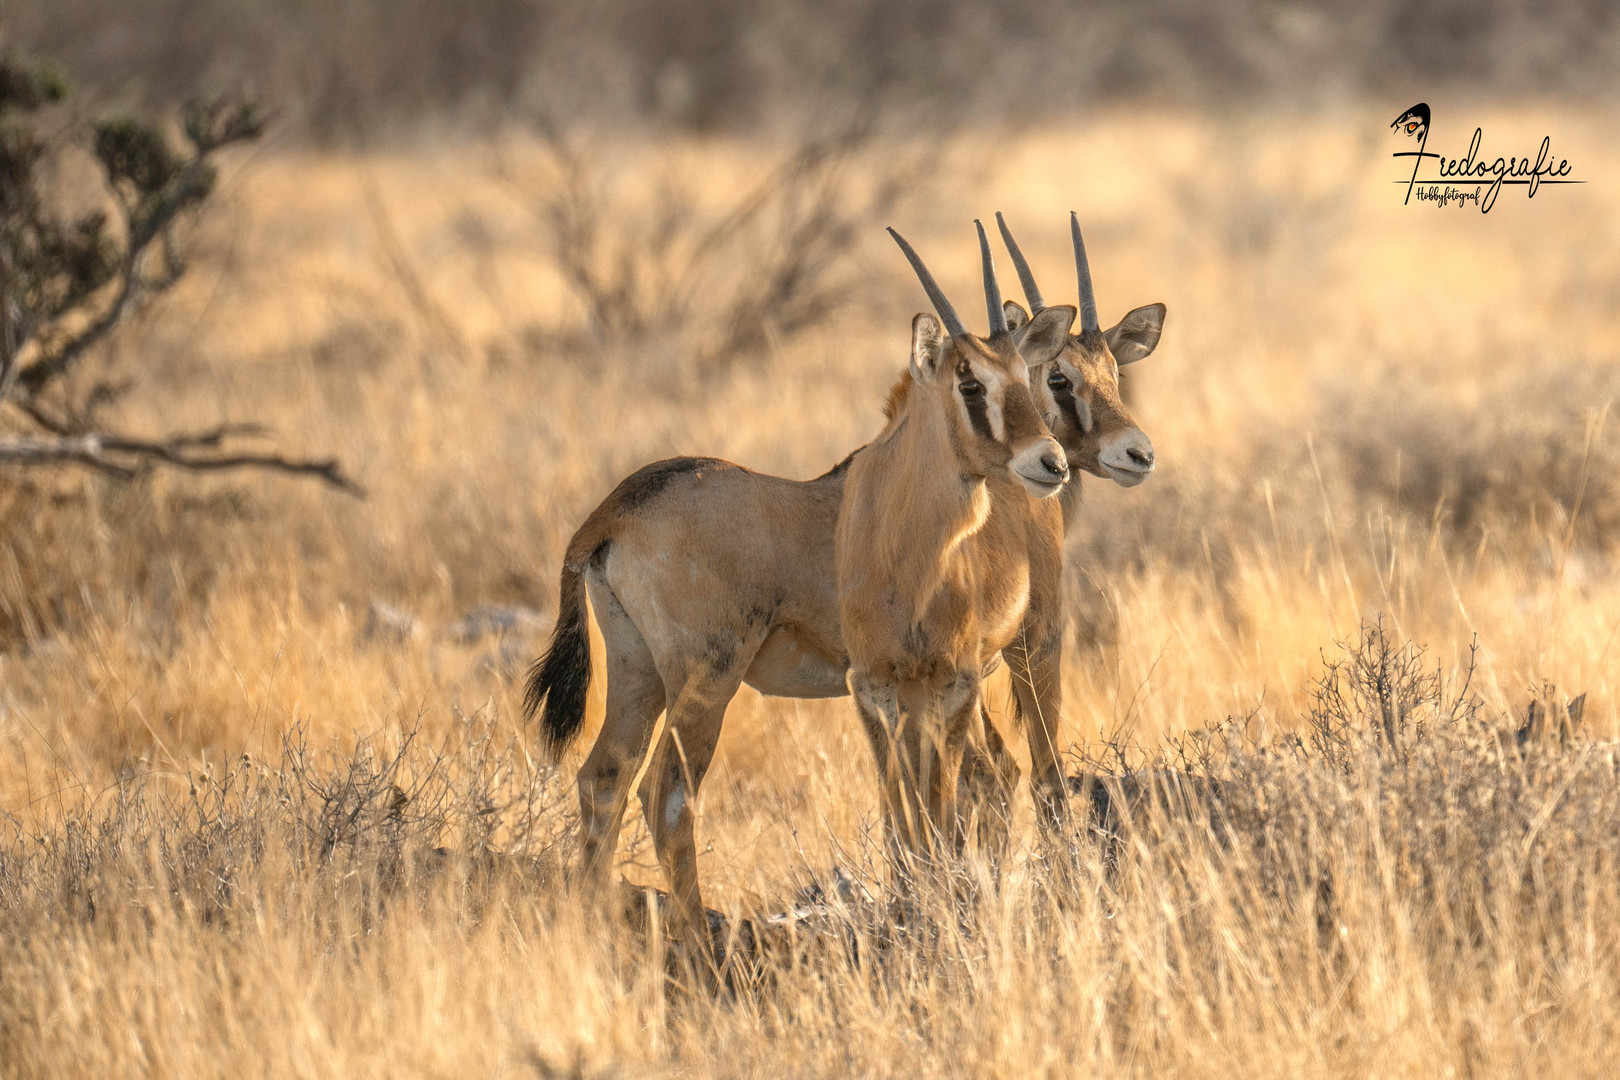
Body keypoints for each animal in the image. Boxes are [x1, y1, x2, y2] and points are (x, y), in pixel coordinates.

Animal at [528, 216, 1166, 932]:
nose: (1133, 452)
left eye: (1112, 370)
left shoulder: (949, 677)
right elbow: (1027, 781)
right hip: (707, 678)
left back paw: (588, 923)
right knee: (669, 794)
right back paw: (695, 931)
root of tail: (613, 510)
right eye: (1055, 378)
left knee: (604, 778)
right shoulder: (1032, 647)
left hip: (638, 672)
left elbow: (970, 789)